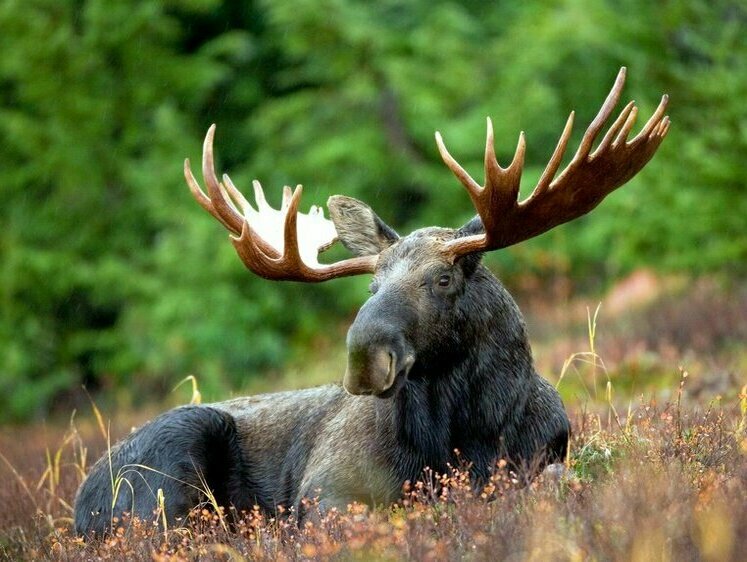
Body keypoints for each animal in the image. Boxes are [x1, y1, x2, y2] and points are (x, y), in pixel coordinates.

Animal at [74, 68, 672, 532]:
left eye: (444, 279)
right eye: (372, 285)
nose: (364, 356)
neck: (468, 434)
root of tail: (79, 505)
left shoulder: (544, 457)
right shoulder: (326, 489)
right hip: (171, 463)